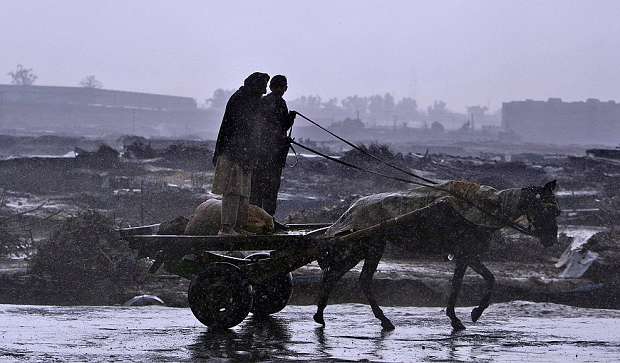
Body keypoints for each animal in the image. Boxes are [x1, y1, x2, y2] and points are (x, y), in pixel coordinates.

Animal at [312, 180, 560, 332]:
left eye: (557, 211)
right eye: (545, 209)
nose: (551, 240)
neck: (485, 207)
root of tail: (351, 210)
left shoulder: (469, 254)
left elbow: (489, 279)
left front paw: (473, 313)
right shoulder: (465, 253)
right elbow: (460, 284)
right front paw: (460, 317)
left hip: (362, 247)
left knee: (338, 276)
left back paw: (322, 315)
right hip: (370, 246)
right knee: (354, 278)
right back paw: (382, 319)